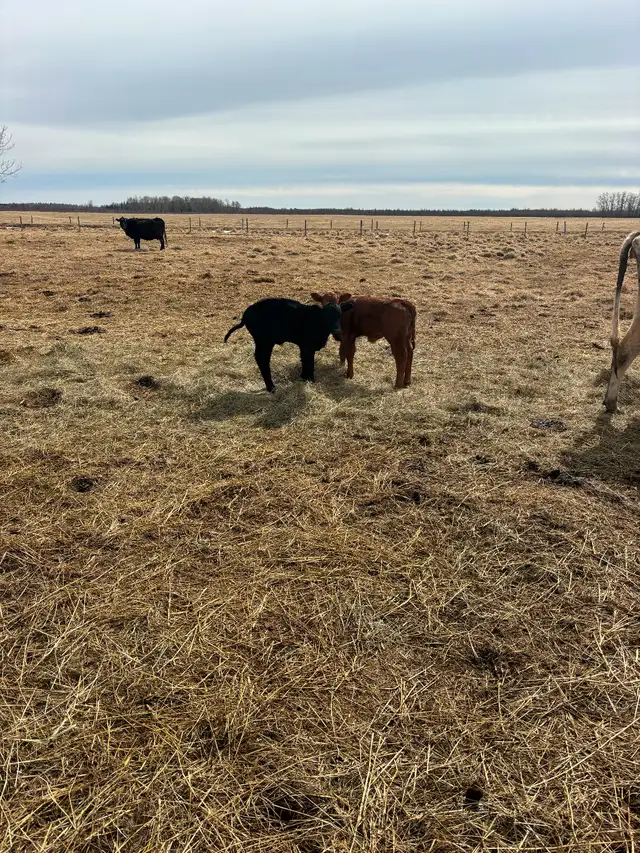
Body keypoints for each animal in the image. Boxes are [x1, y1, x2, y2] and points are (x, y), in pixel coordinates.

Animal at [224, 297, 354, 392]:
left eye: (340, 315)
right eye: (326, 316)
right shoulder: (308, 346)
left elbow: (303, 360)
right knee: (262, 359)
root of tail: (247, 314)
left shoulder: (303, 346)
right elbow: (309, 362)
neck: (318, 322)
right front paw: (311, 379)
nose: (337, 330)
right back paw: (271, 387)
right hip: (264, 341)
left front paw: (303, 377)